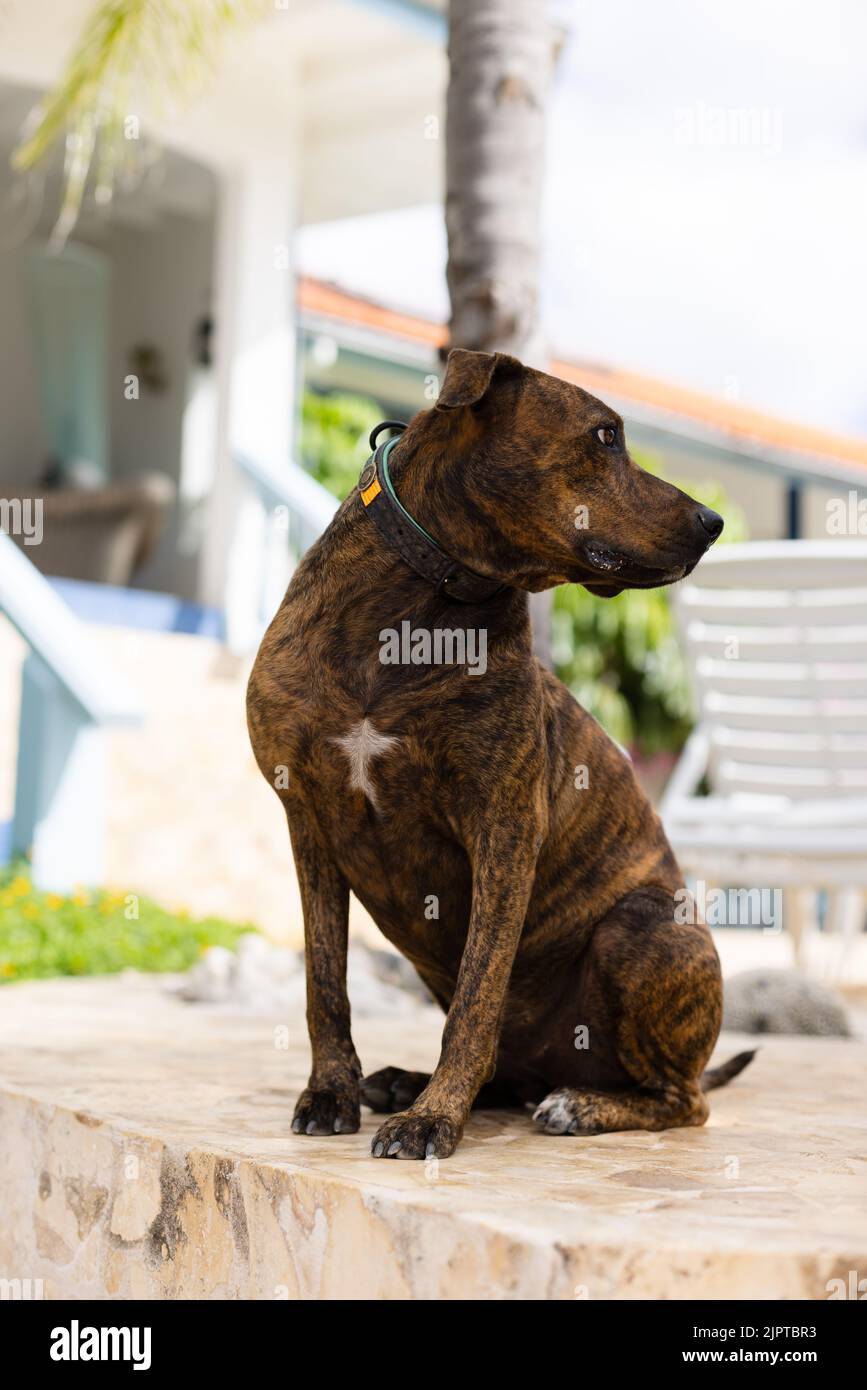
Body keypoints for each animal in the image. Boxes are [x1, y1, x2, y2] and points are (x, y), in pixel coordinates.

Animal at [247, 350, 755, 1162]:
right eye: (605, 435)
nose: (713, 523)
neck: (414, 608)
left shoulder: (504, 827)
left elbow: (476, 998)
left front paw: (433, 1119)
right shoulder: (309, 822)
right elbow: (324, 985)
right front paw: (330, 1093)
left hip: (643, 928)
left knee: (684, 1100)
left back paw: (579, 1104)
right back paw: (406, 1080)